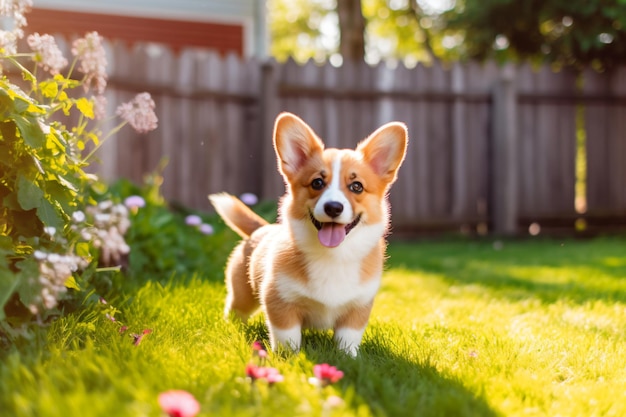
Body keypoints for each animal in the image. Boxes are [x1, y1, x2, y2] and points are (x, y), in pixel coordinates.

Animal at [207, 112, 408, 356]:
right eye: (317, 182)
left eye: (357, 186)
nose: (333, 207)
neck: (333, 255)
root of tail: (261, 228)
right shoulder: (280, 300)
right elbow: (288, 337)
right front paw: (288, 358)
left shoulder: (358, 307)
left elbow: (348, 339)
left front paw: (349, 358)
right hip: (243, 294)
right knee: (235, 310)